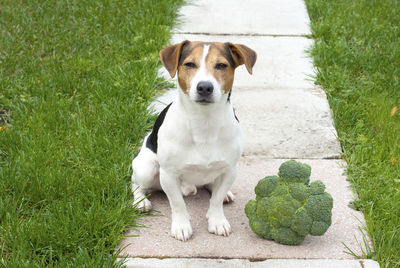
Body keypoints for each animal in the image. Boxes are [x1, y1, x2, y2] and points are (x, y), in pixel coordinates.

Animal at [131, 40, 256, 242]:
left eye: (221, 65)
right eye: (189, 64)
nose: (205, 87)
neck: (203, 122)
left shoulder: (230, 170)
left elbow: (216, 200)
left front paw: (217, 220)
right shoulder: (169, 174)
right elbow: (178, 204)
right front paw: (181, 226)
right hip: (146, 169)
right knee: (135, 184)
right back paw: (140, 201)